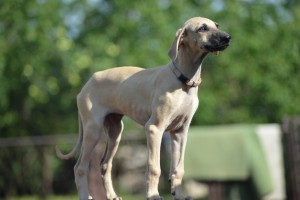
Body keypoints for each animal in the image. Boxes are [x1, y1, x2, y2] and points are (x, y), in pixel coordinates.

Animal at [55, 16, 230, 199]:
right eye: (202, 28)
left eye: (216, 25)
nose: (227, 38)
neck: (183, 81)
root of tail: (86, 85)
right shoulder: (154, 129)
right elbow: (154, 168)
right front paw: (153, 195)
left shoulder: (180, 132)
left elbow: (178, 170)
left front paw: (179, 195)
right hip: (93, 130)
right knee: (80, 168)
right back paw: (85, 195)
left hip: (115, 132)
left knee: (104, 165)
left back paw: (112, 195)